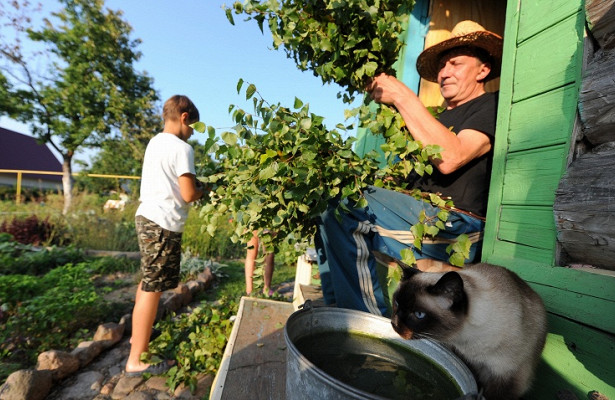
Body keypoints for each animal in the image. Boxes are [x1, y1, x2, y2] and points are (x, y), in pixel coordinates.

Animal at [392, 262, 548, 400]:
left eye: (419, 314)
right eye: (397, 303)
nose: (395, 324)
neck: (468, 342)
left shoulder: (505, 378)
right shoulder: (466, 361)